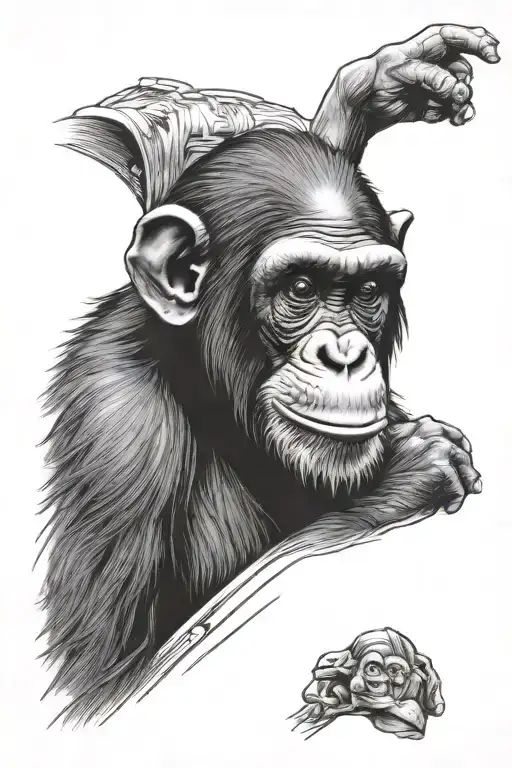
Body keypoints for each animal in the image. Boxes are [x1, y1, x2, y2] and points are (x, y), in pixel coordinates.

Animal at [39, 24, 499, 724]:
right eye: (302, 288)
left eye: (368, 291)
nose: (345, 355)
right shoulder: (118, 436)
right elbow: (100, 686)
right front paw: (408, 475)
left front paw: (380, 83)